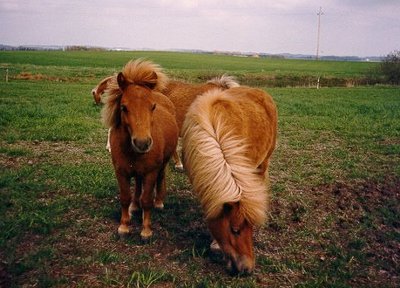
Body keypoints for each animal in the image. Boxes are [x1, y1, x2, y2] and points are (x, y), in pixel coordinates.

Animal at [101, 59, 178, 240]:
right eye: (123, 107)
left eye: (153, 107)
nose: (142, 143)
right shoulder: (121, 172)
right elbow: (125, 197)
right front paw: (124, 226)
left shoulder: (150, 172)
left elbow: (147, 200)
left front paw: (146, 230)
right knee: (137, 184)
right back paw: (135, 206)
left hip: (162, 165)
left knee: (160, 178)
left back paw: (159, 202)